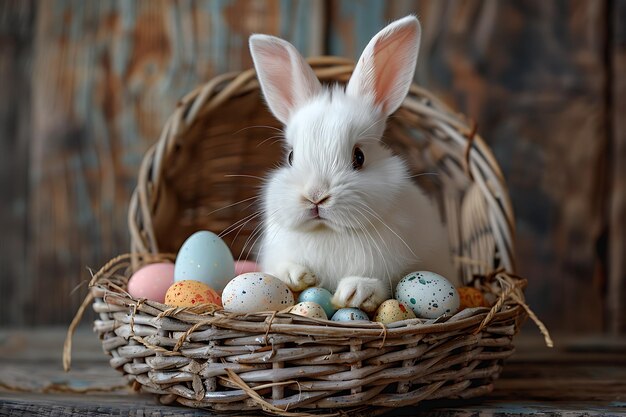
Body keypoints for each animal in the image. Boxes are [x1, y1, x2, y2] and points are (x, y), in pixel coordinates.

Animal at [249, 15, 454, 312]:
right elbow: (283, 268)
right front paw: (296, 275)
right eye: (291, 157)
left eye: (359, 157)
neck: (329, 232)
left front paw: (354, 292)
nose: (315, 196)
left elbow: (381, 286)